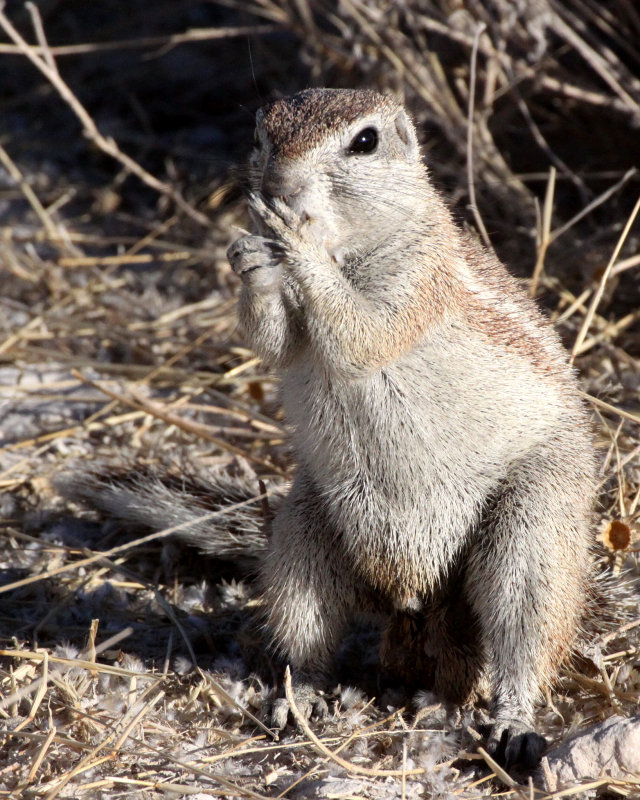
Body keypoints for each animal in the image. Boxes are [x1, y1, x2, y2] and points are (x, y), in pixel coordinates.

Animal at [225, 87, 596, 768]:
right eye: (262, 132)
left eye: (365, 142)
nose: (278, 186)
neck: (350, 240)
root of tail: (415, 600)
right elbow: (275, 343)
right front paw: (252, 253)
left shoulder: (419, 277)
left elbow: (363, 333)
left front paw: (292, 239)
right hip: (303, 530)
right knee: (309, 631)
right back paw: (299, 699)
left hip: (537, 520)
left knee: (525, 635)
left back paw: (513, 722)